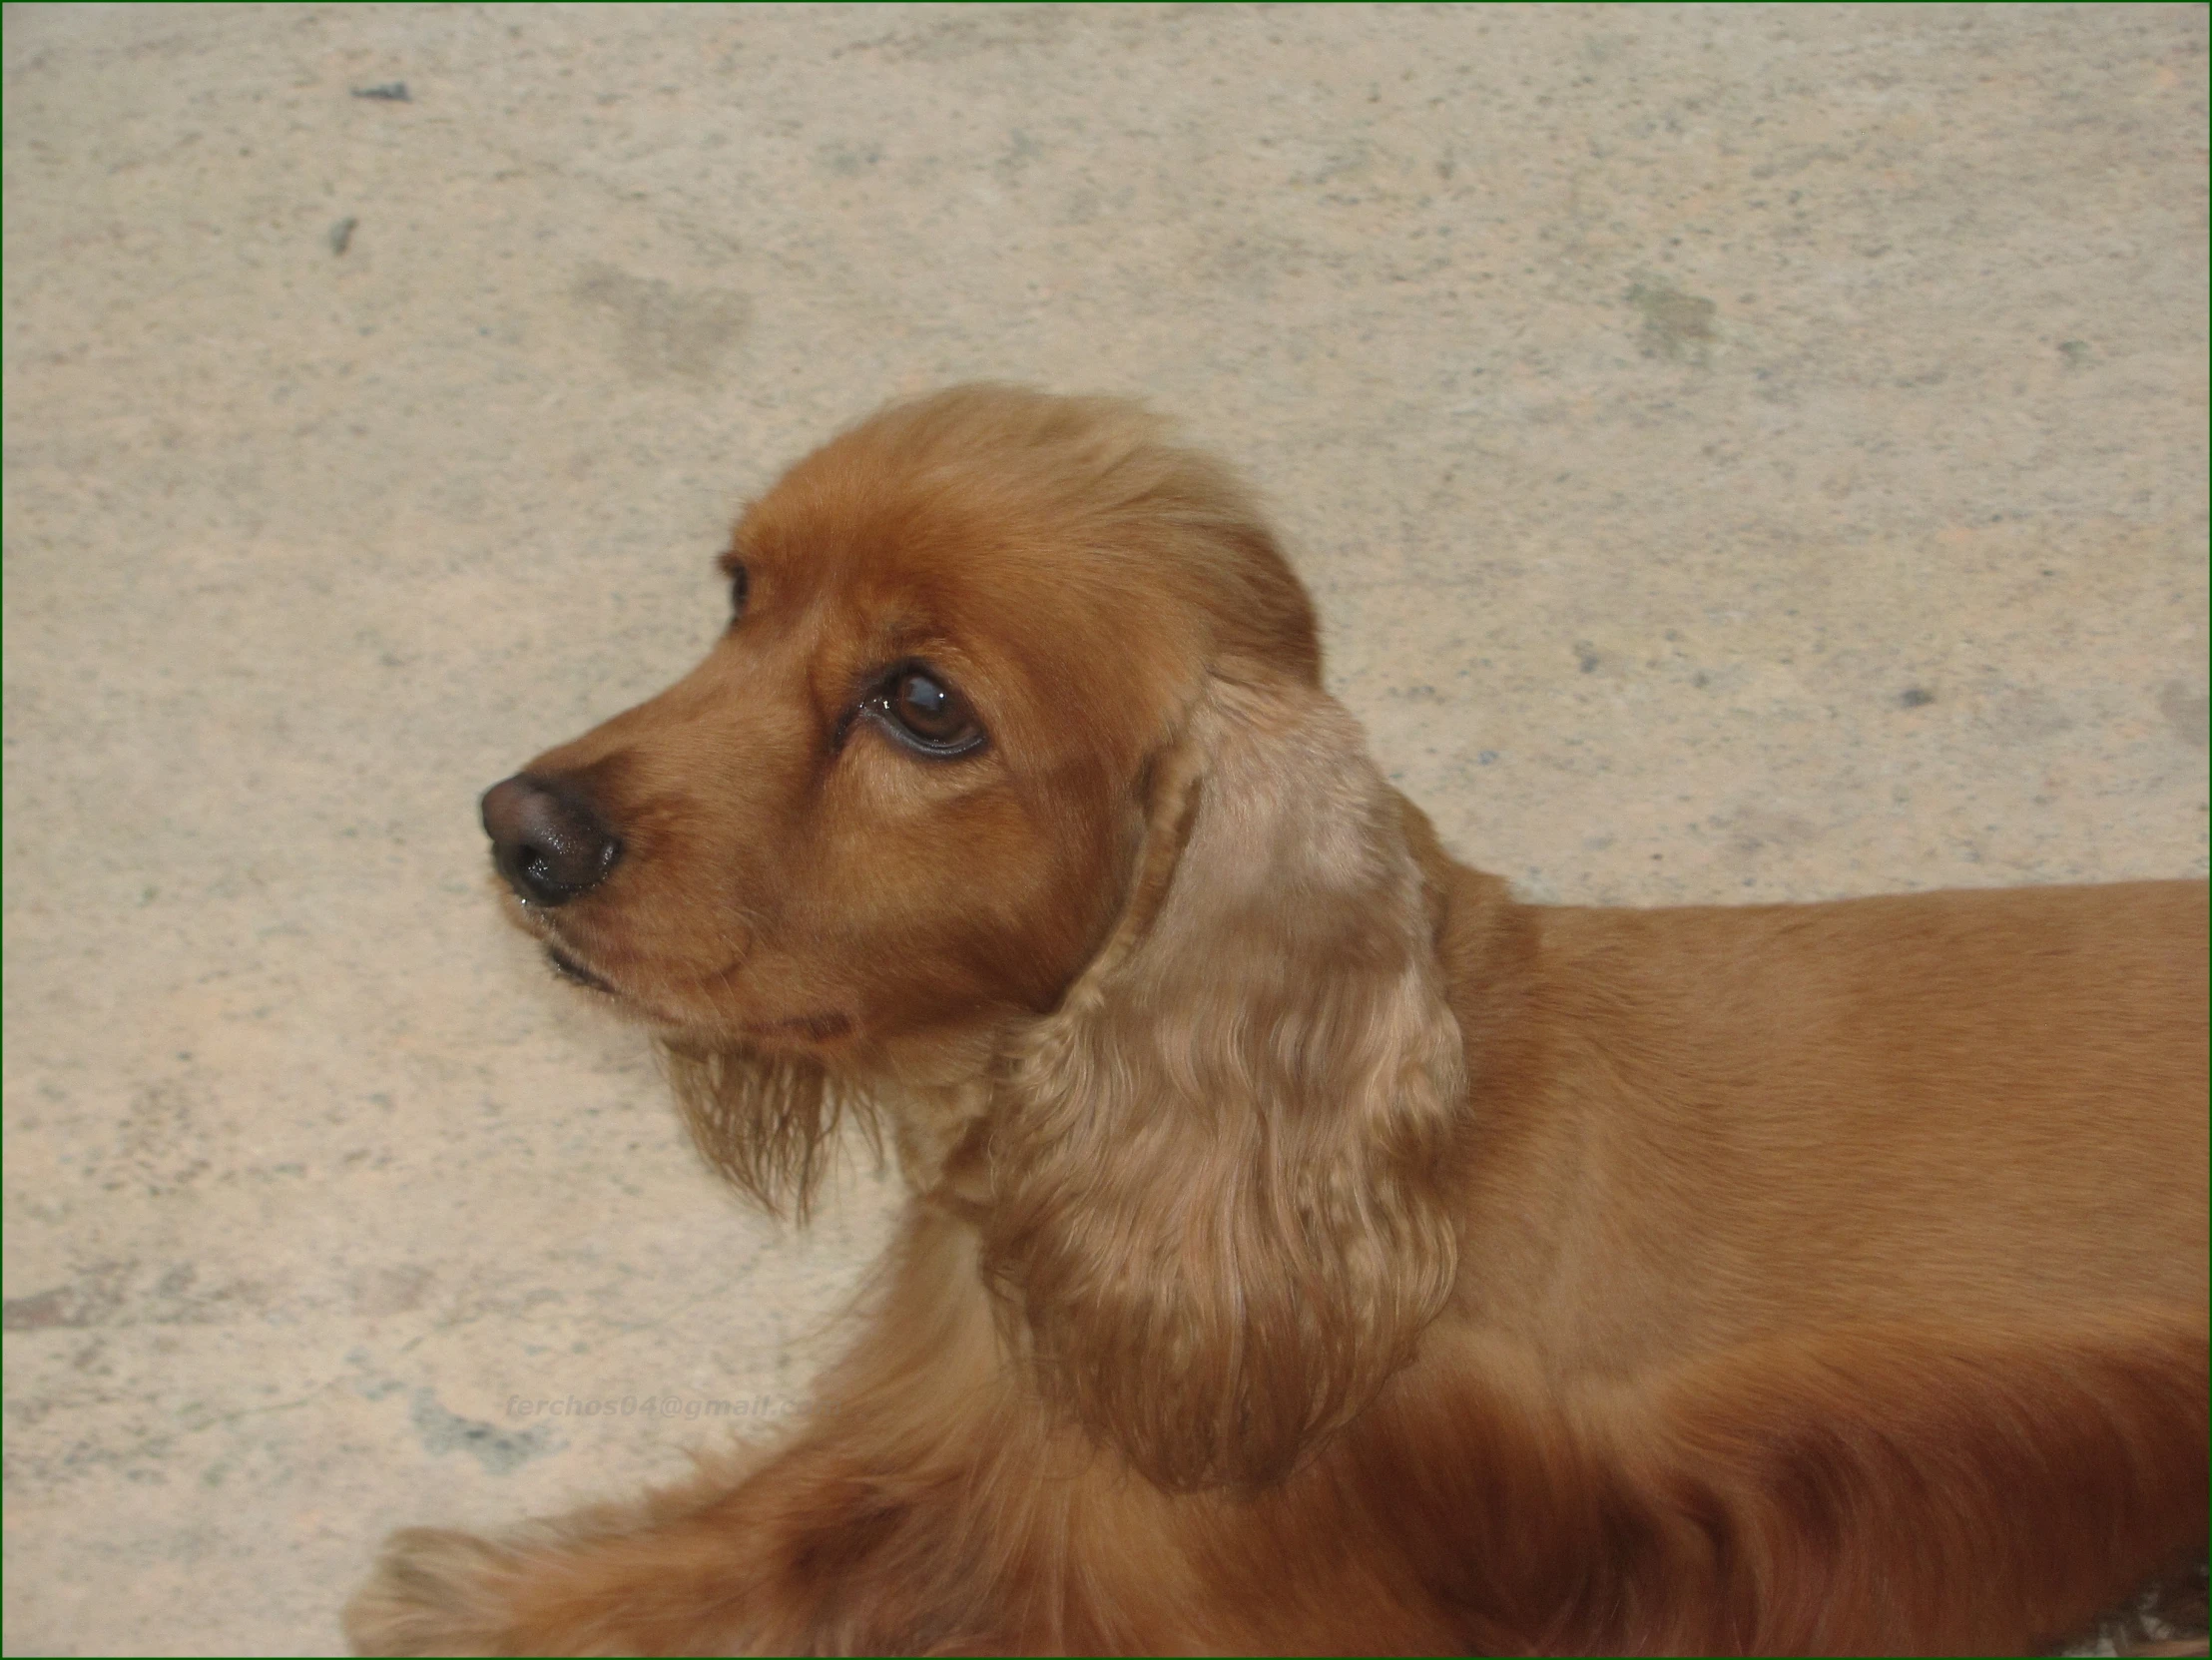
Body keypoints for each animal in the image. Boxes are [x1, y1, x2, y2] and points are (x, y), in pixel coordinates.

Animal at [349, 387, 2212, 1655]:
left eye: (922, 703)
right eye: (737, 592)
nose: (522, 827)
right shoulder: (960, 1425)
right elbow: (787, 1513)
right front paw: (502, 1589)